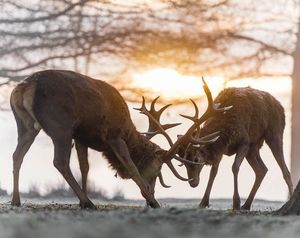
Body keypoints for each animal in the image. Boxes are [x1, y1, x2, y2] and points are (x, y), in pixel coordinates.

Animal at [9, 70, 227, 208]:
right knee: (59, 161)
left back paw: (16, 200)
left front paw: (81, 199)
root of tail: (26, 87)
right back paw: (89, 203)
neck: (129, 132)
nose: (151, 192)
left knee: (17, 155)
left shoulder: (82, 136)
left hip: (25, 125)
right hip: (60, 125)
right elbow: (131, 166)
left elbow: (85, 167)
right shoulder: (114, 136)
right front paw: (154, 202)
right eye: (157, 170)